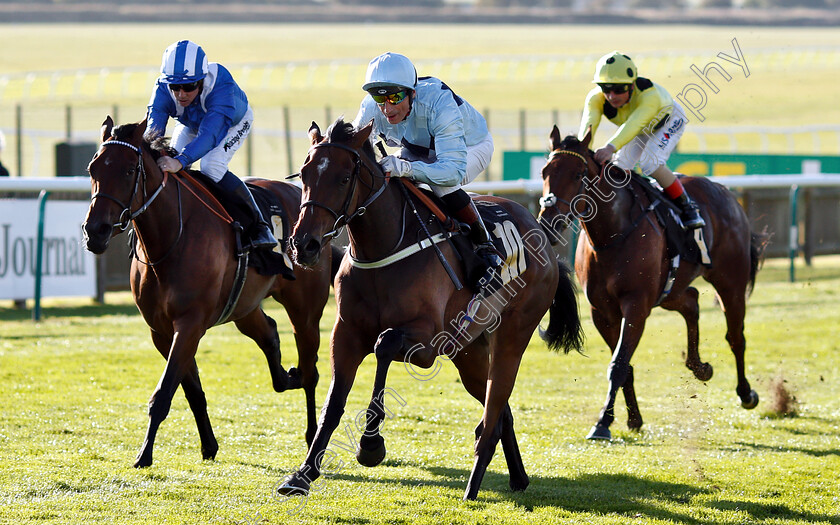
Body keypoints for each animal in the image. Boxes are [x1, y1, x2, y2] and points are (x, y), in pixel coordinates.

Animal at [83, 115, 334, 466]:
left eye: (129, 170)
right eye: (93, 169)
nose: (95, 231)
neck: (171, 236)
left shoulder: (190, 324)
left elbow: (164, 392)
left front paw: (144, 455)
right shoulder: (162, 330)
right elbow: (191, 390)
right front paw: (208, 445)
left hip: (305, 311)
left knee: (311, 370)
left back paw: (312, 437)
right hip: (244, 306)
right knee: (269, 332)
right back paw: (288, 377)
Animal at [278, 117, 580, 500]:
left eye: (344, 178)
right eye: (304, 174)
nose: (305, 245)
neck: (383, 249)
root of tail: (541, 236)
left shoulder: (428, 343)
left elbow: (385, 344)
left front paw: (370, 446)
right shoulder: (345, 333)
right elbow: (333, 403)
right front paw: (302, 474)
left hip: (512, 334)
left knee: (494, 406)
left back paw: (473, 487)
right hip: (469, 351)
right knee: (500, 411)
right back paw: (518, 478)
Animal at [540, 126, 768, 438]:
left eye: (577, 174)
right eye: (544, 171)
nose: (548, 222)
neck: (613, 234)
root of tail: (727, 193)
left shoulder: (636, 306)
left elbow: (619, 363)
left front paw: (602, 423)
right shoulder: (601, 311)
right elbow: (624, 365)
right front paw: (631, 418)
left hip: (730, 283)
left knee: (735, 336)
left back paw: (746, 394)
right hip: (669, 289)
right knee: (691, 301)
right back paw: (700, 367)